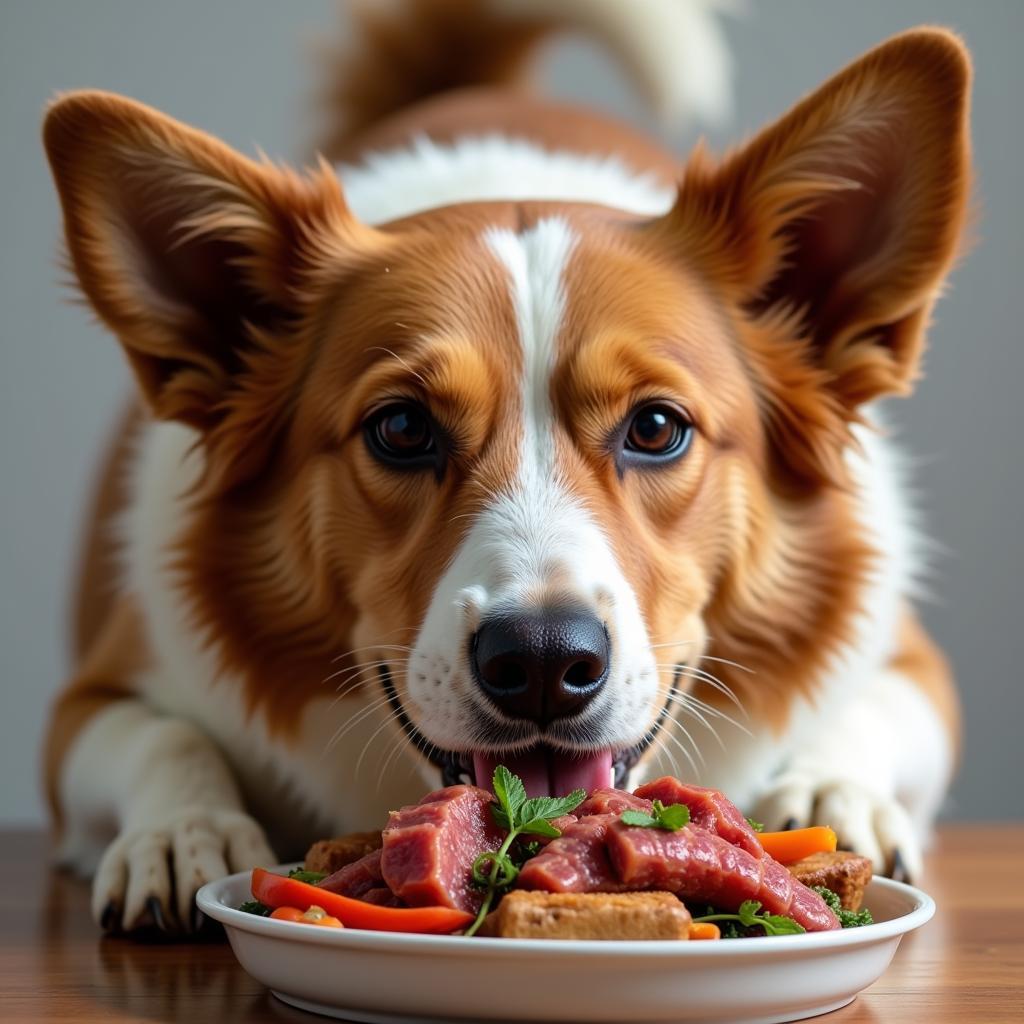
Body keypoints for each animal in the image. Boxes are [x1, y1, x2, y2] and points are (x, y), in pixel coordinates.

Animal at [39, 0, 966, 933]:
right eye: (402, 428)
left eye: (656, 427)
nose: (546, 665)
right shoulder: (95, 694)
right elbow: (161, 734)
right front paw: (182, 830)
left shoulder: (907, 660)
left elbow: (876, 713)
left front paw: (831, 795)